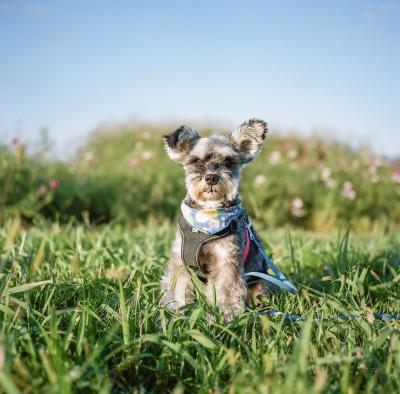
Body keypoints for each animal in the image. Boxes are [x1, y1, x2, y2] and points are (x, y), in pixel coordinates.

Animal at [161, 117, 270, 320]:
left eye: (228, 161)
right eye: (196, 161)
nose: (211, 177)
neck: (205, 222)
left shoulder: (226, 262)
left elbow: (227, 292)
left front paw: (225, 317)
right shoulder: (180, 263)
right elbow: (179, 290)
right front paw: (176, 314)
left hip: (260, 285)